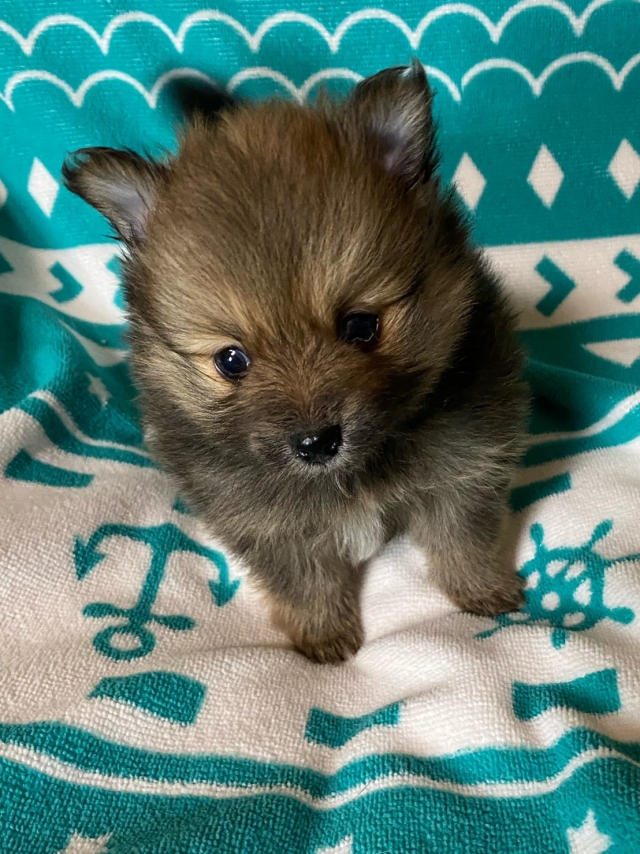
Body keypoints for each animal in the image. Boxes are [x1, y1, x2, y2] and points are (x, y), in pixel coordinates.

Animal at [63, 62, 529, 664]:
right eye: (231, 360)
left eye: (361, 326)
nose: (315, 443)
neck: (357, 473)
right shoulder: (269, 524)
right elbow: (307, 580)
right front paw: (324, 636)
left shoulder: (465, 467)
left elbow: (462, 539)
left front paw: (482, 592)